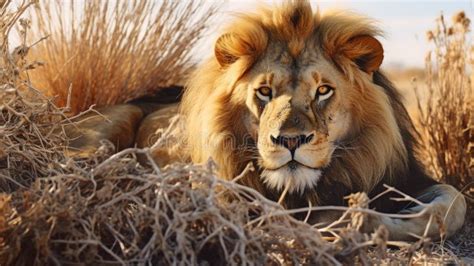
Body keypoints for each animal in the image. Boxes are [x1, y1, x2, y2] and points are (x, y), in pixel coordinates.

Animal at [67, 0, 466, 241]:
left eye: (323, 90)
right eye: (264, 92)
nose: (289, 141)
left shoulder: (404, 179)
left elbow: (452, 203)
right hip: (102, 134)